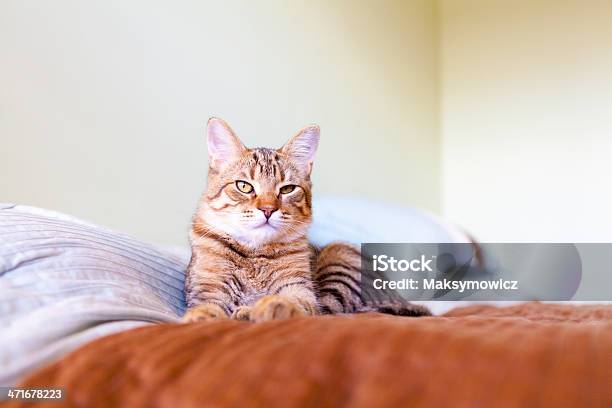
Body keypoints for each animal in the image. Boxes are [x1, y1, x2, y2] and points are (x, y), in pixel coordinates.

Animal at [182, 118, 430, 322]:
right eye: (244, 186)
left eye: (287, 189)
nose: (268, 209)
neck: (255, 253)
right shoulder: (207, 288)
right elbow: (209, 306)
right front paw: (202, 316)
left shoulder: (299, 289)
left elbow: (297, 303)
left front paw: (269, 307)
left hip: (341, 255)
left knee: (331, 311)